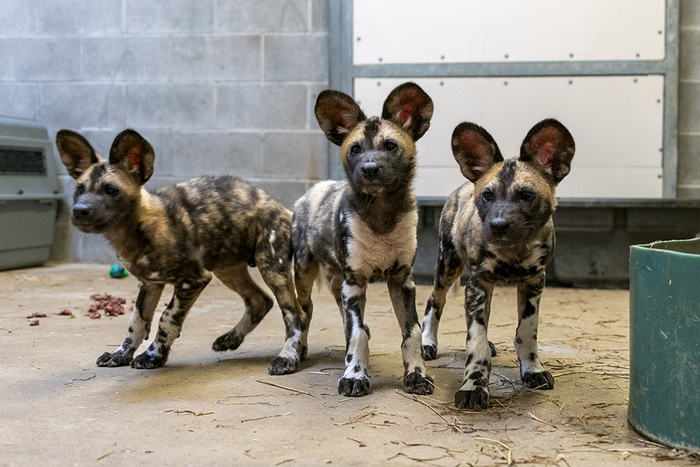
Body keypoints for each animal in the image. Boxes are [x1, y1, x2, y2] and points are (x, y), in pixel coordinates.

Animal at [54, 129, 306, 376]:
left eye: (110, 190)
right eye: (79, 190)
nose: (80, 210)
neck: (135, 232)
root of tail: (283, 208)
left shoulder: (194, 279)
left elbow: (166, 318)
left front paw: (152, 356)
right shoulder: (149, 283)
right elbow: (136, 322)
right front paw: (121, 354)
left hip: (270, 266)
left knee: (295, 315)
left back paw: (288, 357)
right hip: (227, 269)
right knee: (260, 301)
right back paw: (237, 340)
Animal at [292, 82, 434, 396]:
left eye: (390, 146)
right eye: (355, 149)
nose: (369, 168)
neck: (381, 214)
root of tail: (315, 188)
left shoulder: (402, 282)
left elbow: (412, 333)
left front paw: (417, 374)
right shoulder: (355, 283)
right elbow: (358, 334)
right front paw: (355, 375)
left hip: (339, 285)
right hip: (305, 275)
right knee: (303, 314)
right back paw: (291, 355)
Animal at [422, 119, 576, 410]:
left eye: (526, 195)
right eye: (487, 196)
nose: (498, 225)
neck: (512, 252)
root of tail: (463, 185)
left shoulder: (533, 283)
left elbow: (526, 331)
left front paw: (533, 370)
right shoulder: (477, 285)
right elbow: (476, 342)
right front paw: (473, 386)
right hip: (448, 267)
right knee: (434, 302)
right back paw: (427, 343)